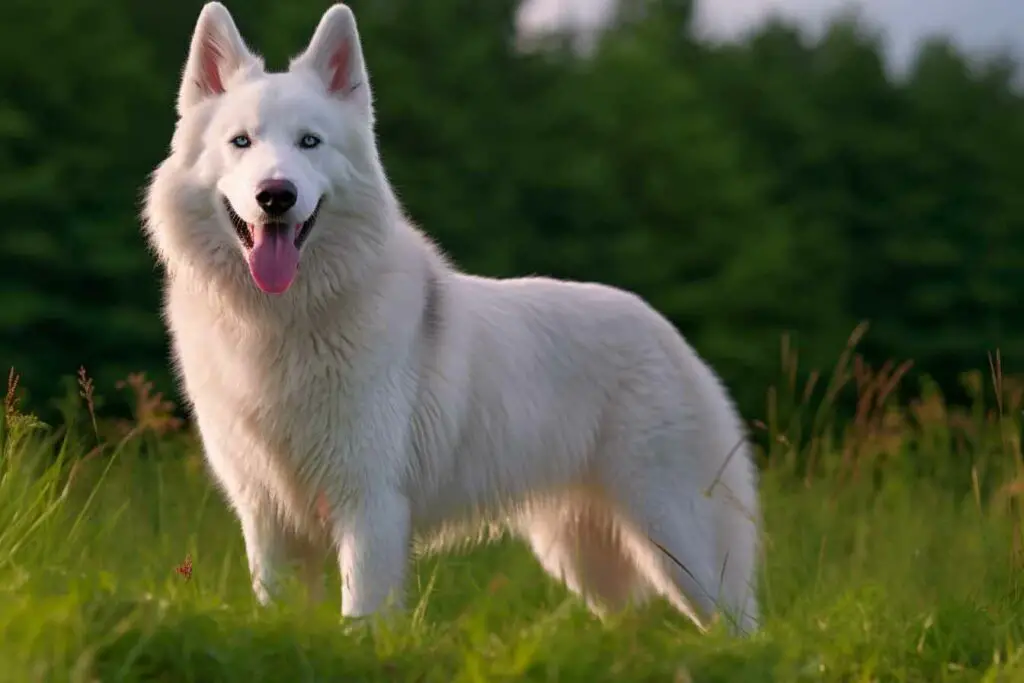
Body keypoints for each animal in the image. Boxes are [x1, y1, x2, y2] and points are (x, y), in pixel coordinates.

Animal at [142, 2, 761, 634]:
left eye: (310, 142)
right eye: (240, 142)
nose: (276, 195)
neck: (283, 321)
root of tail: (670, 334)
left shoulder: (371, 507)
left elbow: (362, 616)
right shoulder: (268, 518)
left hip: (681, 547)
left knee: (740, 630)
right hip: (585, 556)